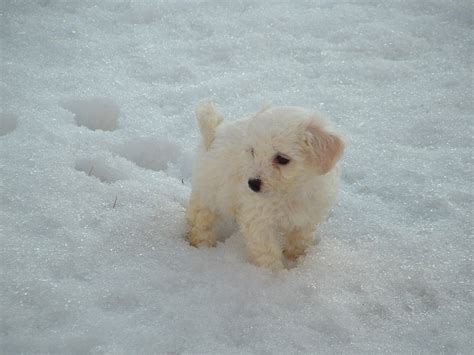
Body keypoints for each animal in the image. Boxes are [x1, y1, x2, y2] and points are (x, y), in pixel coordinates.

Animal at [185, 104, 344, 272]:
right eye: (253, 151)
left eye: (282, 159)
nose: (252, 184)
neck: (291, 191)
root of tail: (215, 131)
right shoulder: (259, 219)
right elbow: (267, 251)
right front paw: (273, 274)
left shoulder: (308, 215)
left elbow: (300, 239)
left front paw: (296, 259)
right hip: (210, 189)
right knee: (201, 216)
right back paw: (201, 242)